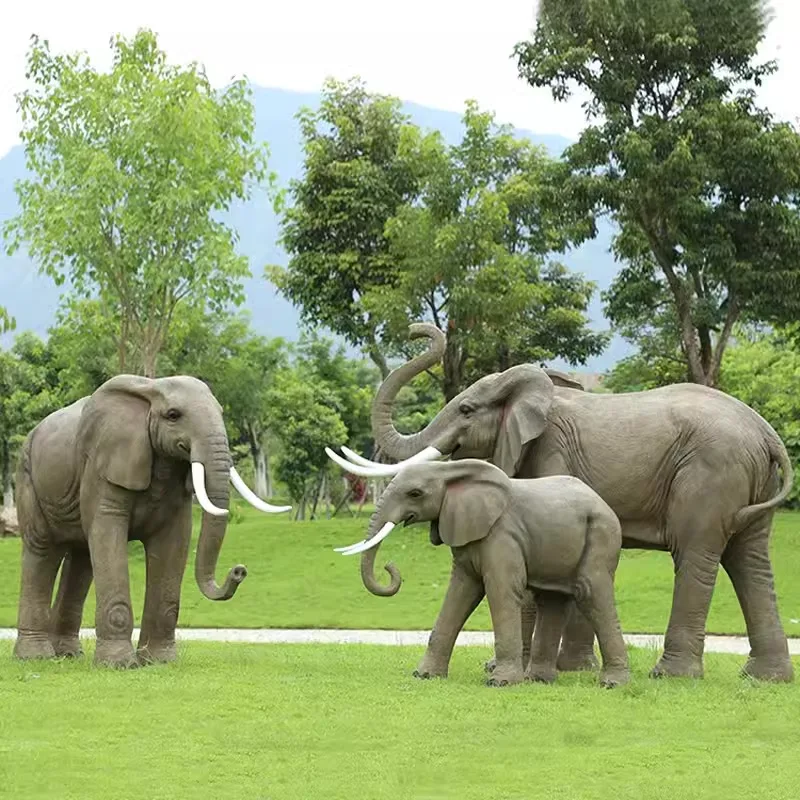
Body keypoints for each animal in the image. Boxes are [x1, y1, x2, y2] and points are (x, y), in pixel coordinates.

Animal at [13, 374, 290, 668]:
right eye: (173, 415)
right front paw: (119, 665)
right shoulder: (103, 464)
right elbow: (107, 529)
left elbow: (173, 541)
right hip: (28, 476)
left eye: (221, 412)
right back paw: (35, 657)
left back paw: (67, 654)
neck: (151, 389)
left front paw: (160, 661)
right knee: (43, 549)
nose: (239, 571)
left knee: (81, 559)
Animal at [335, 459, 630, 687]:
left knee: (589, 590)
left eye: (415, 493)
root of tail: (605, 506)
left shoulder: (502, 535)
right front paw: (423, 675)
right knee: (553, 599)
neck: (448, 470)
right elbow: (460, 592)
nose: (390, 567)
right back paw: (538, 680)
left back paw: (612, 684)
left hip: (601, 535)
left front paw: (500, 683)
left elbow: (501, 589)